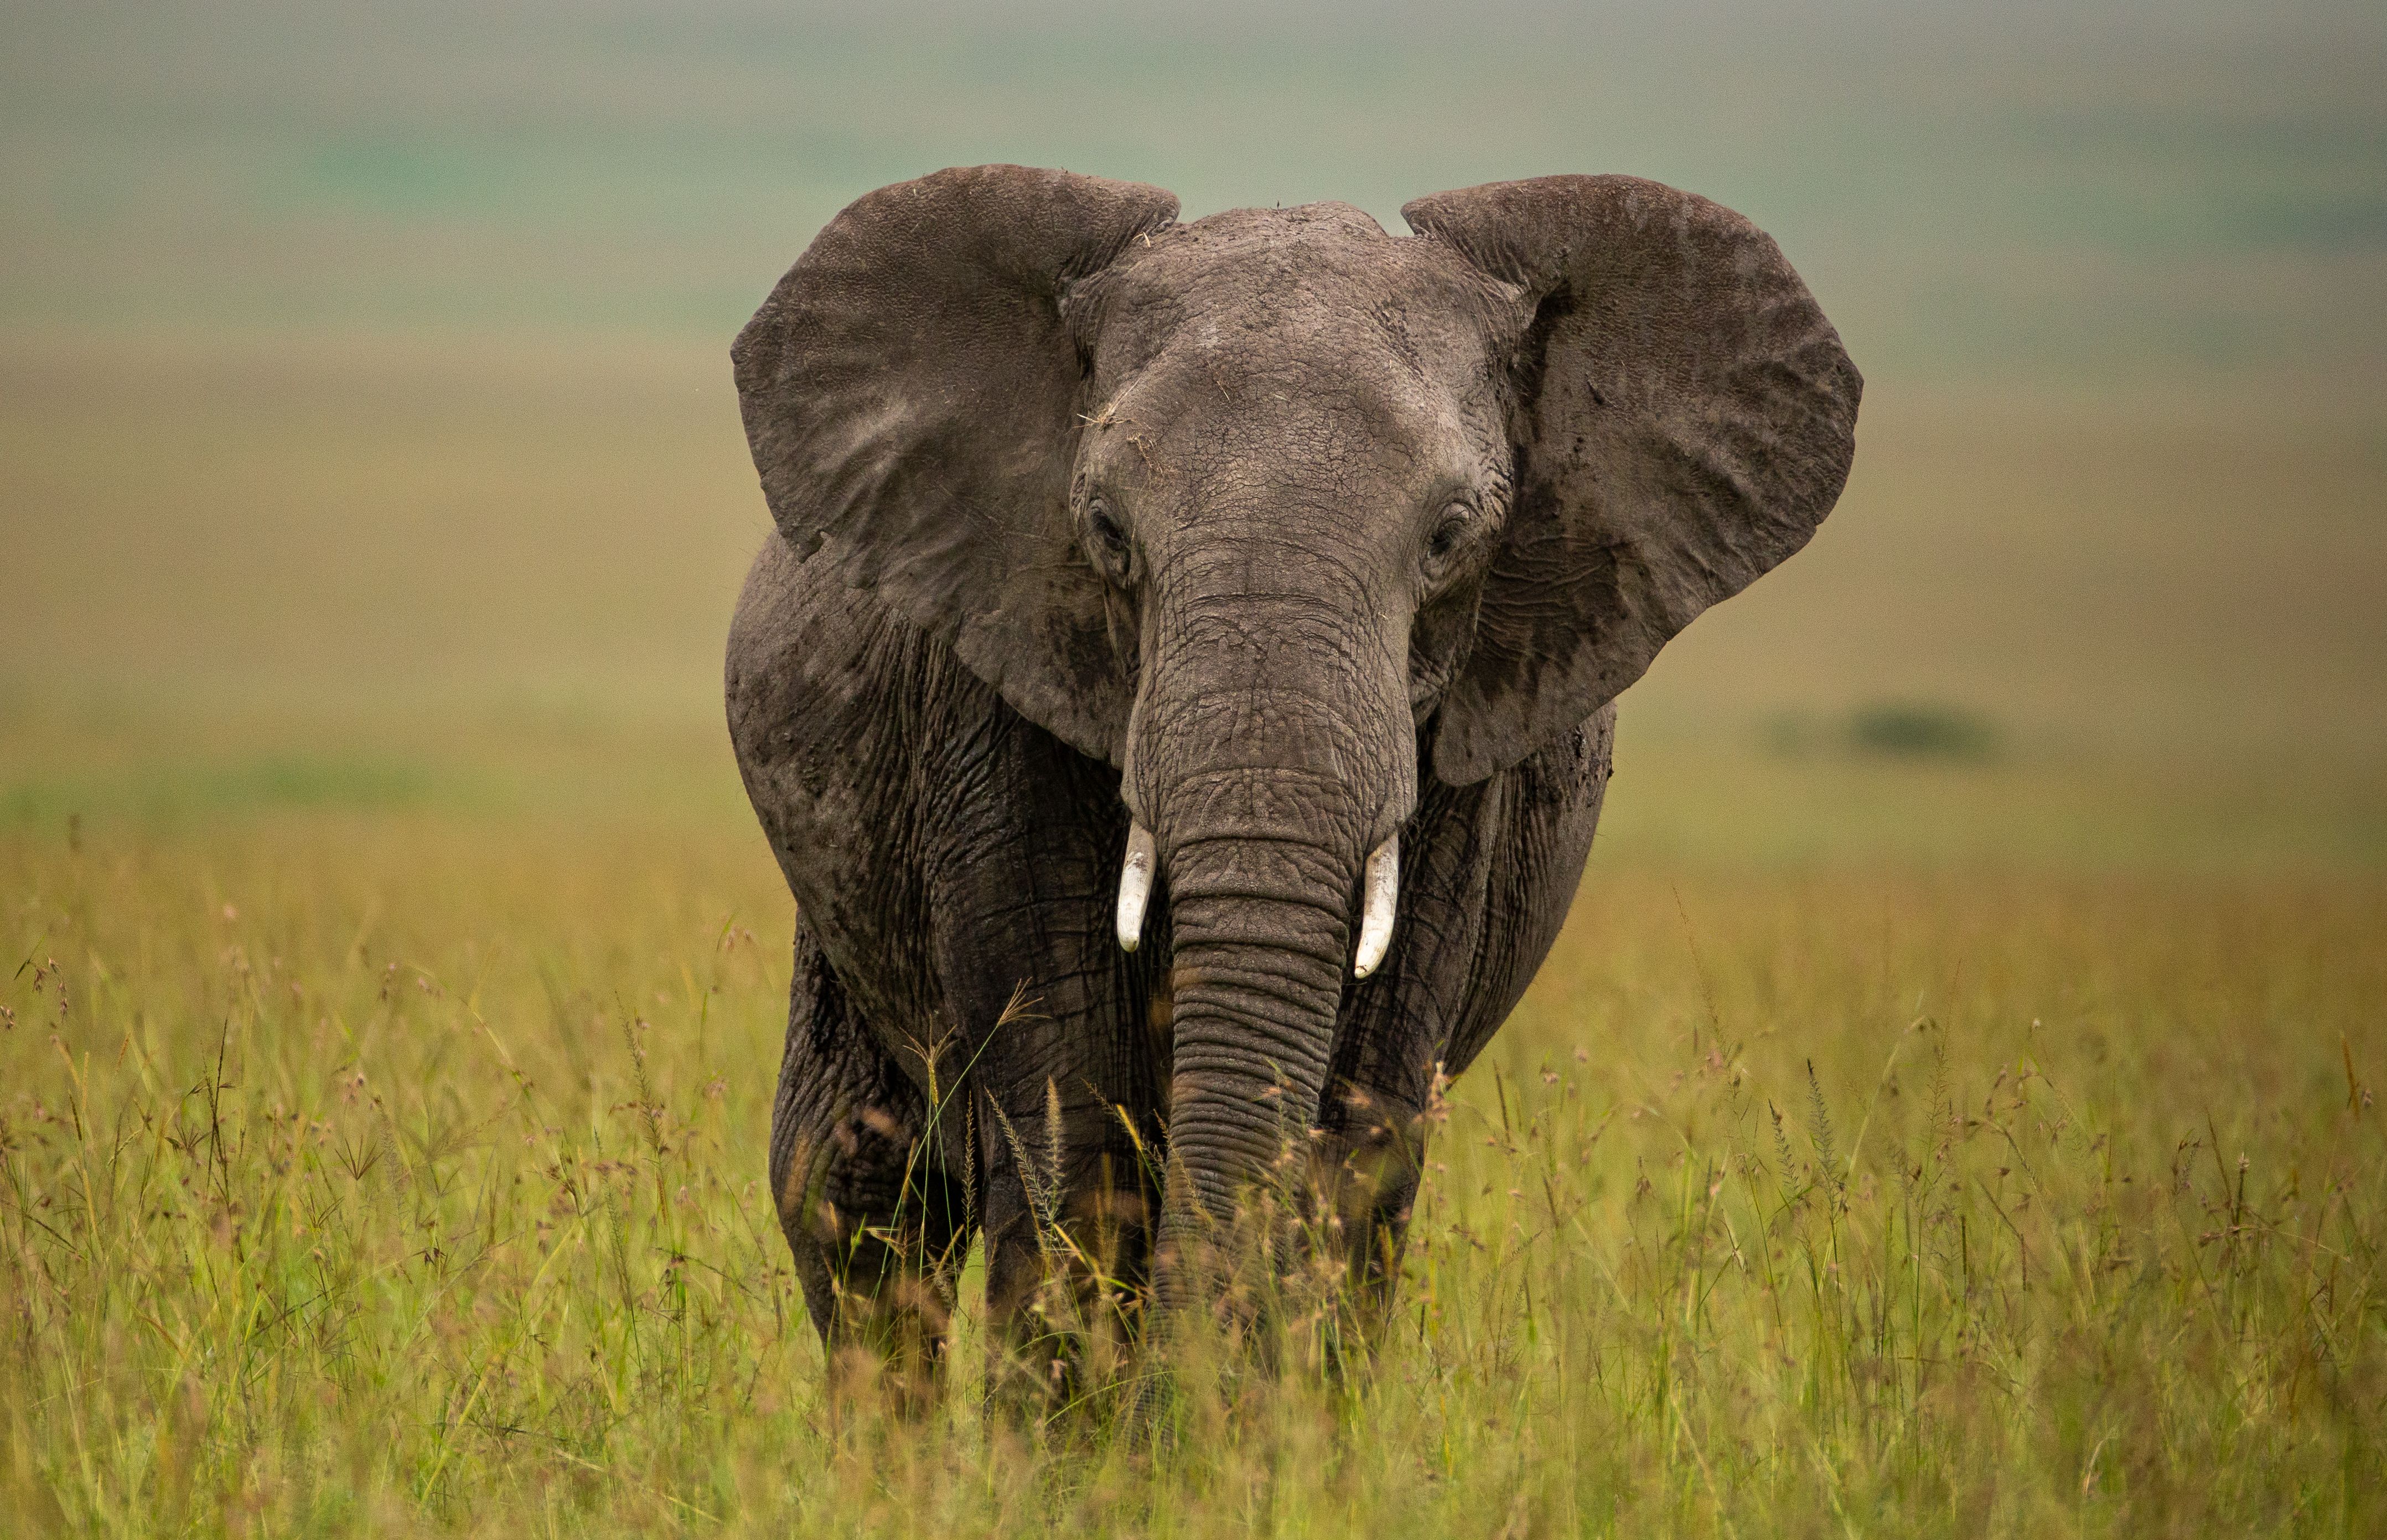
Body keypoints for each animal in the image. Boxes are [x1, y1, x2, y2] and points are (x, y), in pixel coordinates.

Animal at [725, 164, 1859, 1402]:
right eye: (1106, 531)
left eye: (1450, 537)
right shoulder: (990, 714)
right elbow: (1074, 1130)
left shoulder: (1453, 758)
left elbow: (1356, 1138)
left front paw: (1274, 1433)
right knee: (856, 1191)